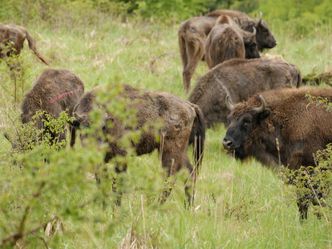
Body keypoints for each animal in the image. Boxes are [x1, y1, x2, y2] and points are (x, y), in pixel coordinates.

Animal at [70, 85, 205, 206]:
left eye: (102, 127)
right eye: (82, 128)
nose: (95, 147)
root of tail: (190, 106)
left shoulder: (121, 157)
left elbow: (117, 183)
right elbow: (101, 181)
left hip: (169, 152)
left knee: (170, 178)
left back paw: (157, 205)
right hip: (181, 153)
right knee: (190, 173)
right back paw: (188, 206)